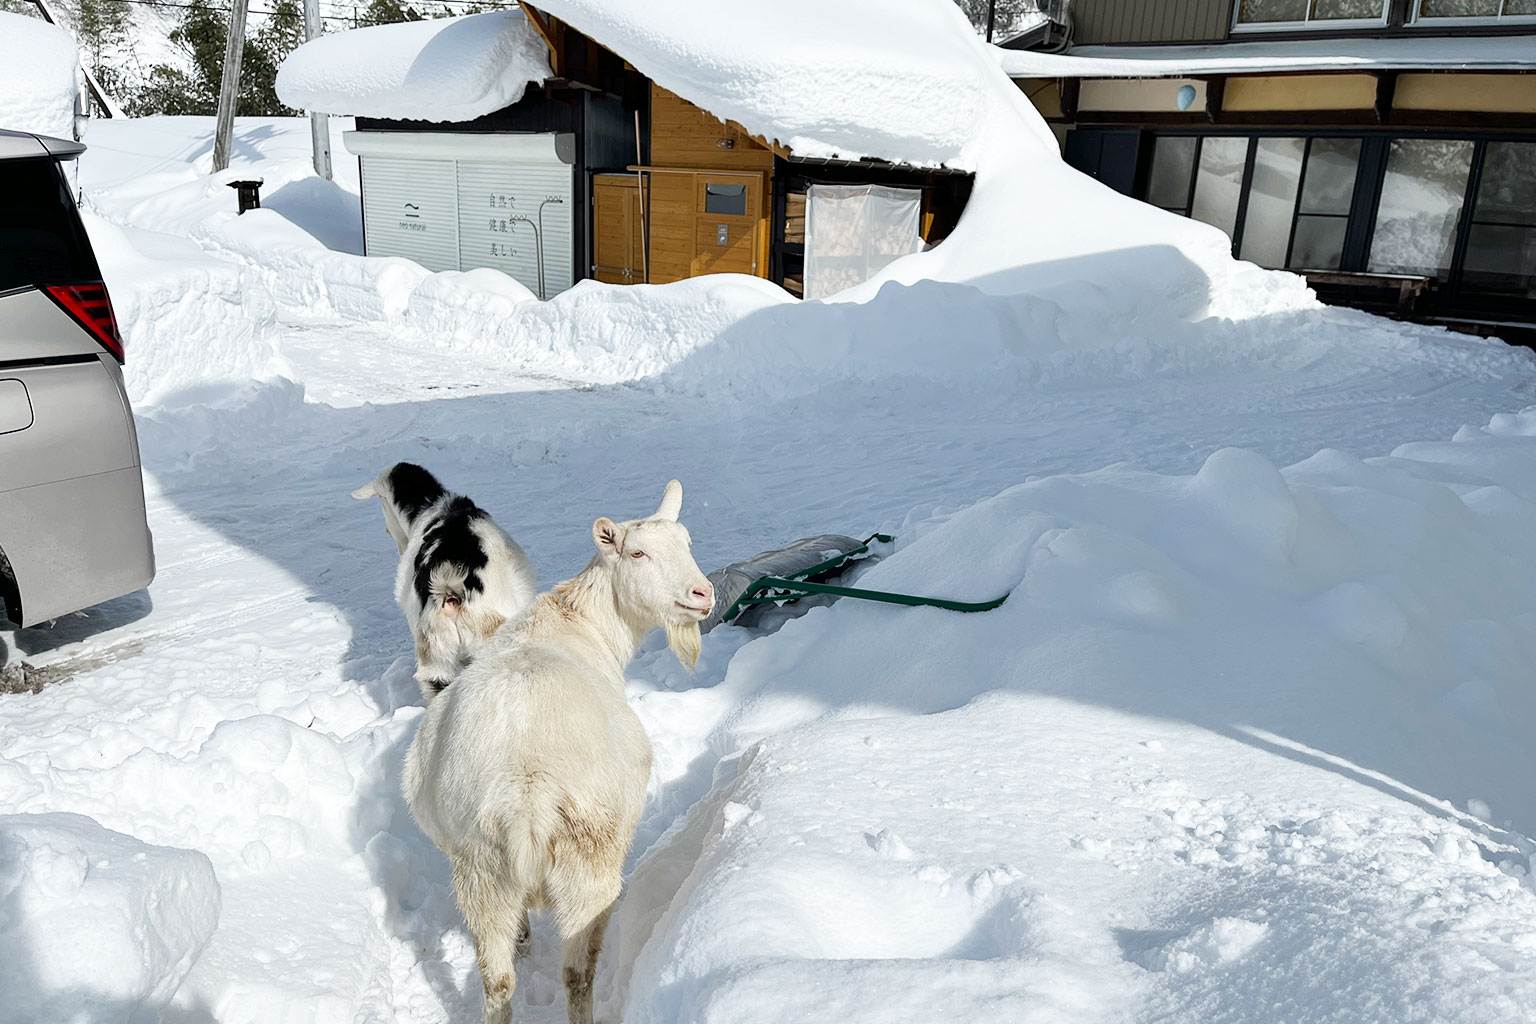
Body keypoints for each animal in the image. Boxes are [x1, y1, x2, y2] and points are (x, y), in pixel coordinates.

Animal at [402, 482, 712, 1024]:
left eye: (687, 542)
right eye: (638, 553)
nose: (703, 594)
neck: (581, 622)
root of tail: (527, 796)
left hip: (479, 868)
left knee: (497, 980)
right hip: (590, 861)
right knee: (577, 973)